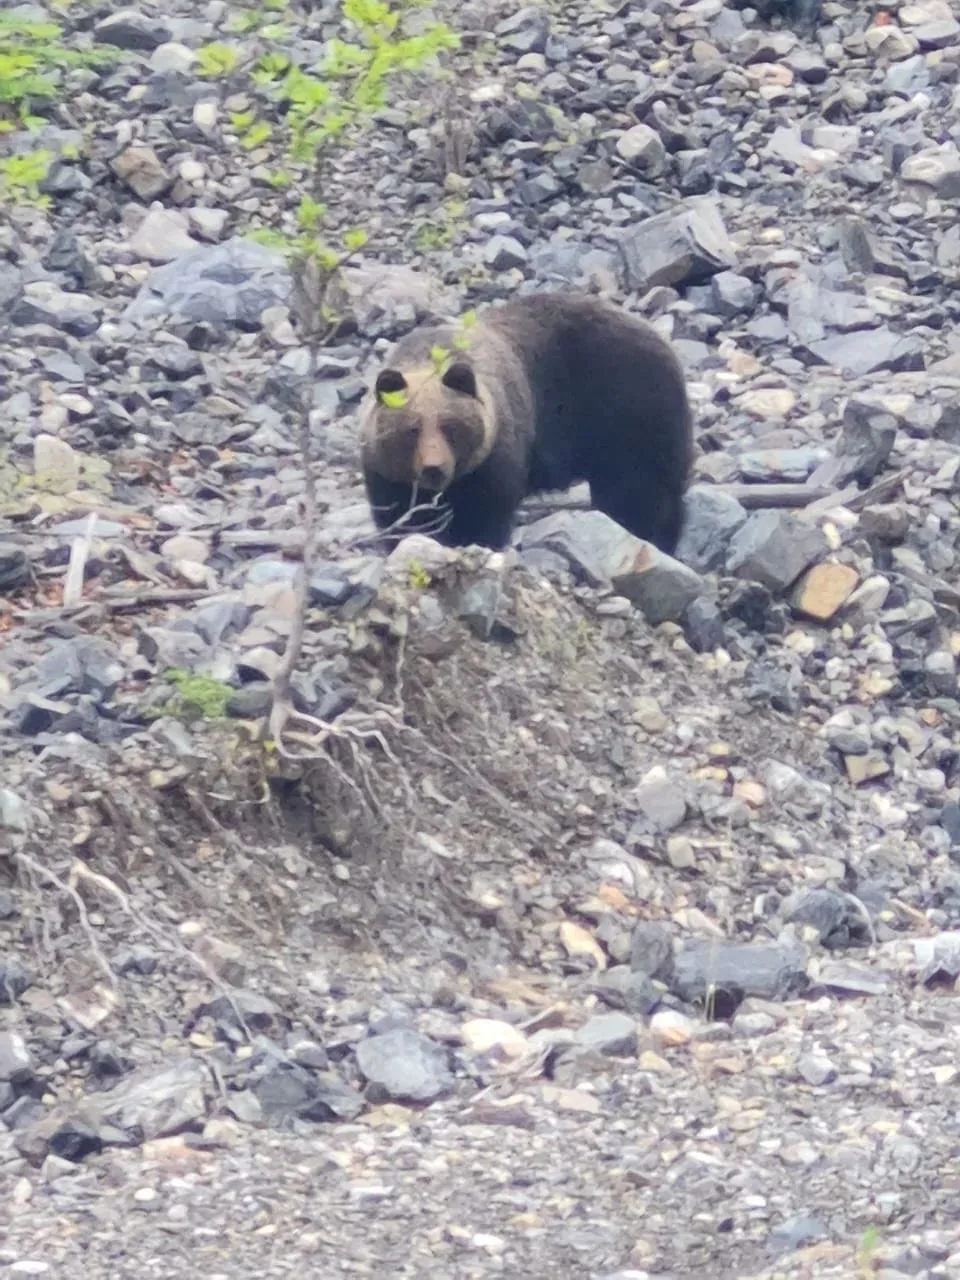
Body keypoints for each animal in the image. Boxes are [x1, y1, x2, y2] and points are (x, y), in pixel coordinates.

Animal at [358, 291, 694, 554]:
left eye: (450, 426)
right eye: (411, 429)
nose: (433, 468)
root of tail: (661, 339)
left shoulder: (495, 458)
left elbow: (484, 516)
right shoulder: (387, 475)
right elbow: (401, 518)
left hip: (628, 414)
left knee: (640, 493)